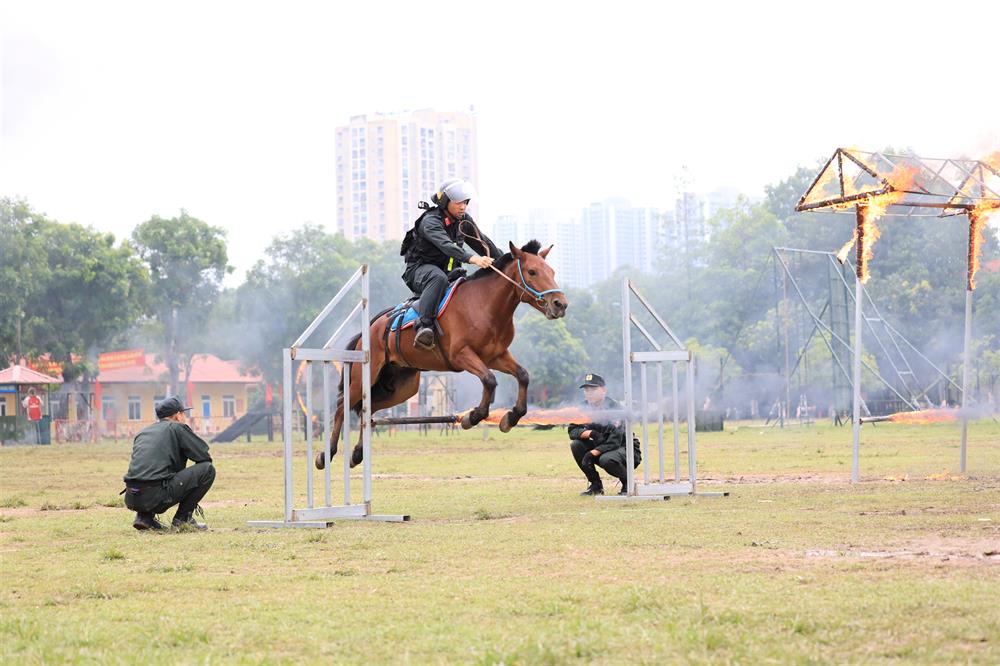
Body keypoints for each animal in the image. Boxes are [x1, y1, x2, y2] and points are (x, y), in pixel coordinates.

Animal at [316, 239, 568, 466]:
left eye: (552, 271)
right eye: (532, 272)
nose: (560, 304)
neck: (483, 305)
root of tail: (370, 328)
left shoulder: (496, 356)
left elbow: (522, 375)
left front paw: (511, 417)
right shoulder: (462, 355)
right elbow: (489, 379)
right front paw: (472, 417)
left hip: (403, 387)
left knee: (368, 409)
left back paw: (357, 454)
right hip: (363, 377)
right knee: (342, 407)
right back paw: (326, 454)